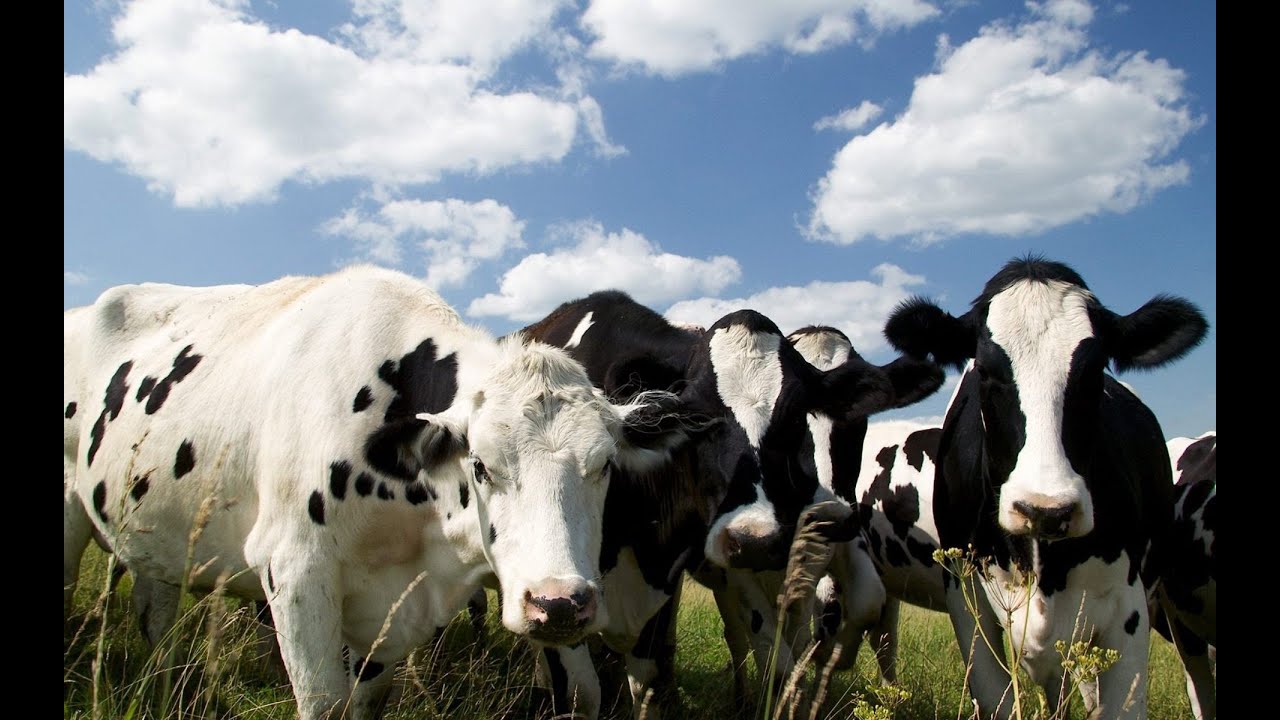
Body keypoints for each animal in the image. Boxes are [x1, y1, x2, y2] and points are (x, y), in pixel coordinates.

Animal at [62, 265, 693, 720]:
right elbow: (325, 705)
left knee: (155, 615)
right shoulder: (295, 570)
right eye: (481, 465)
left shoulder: (389, 610)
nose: (559, 603)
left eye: (605, 465)